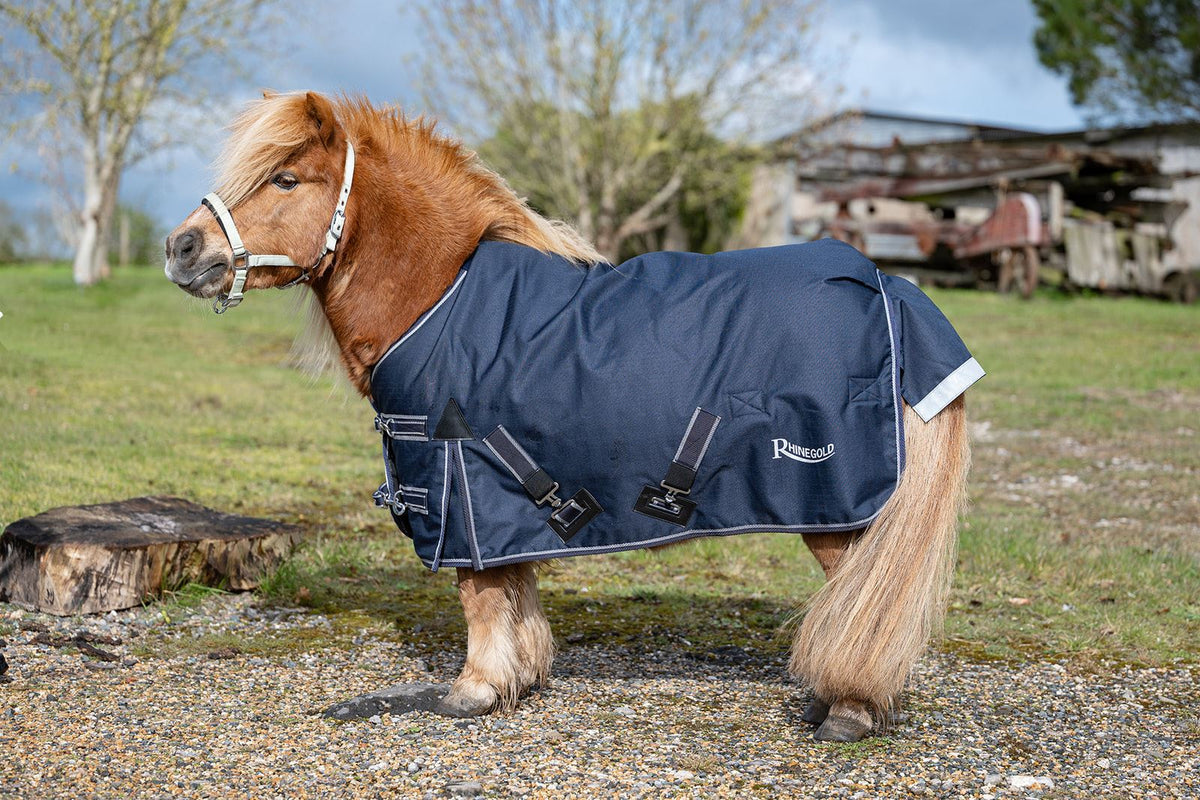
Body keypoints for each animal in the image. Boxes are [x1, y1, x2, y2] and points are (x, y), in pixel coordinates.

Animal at [164, 91, 974, 742]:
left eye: (285, 178)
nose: (181, 247)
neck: (442, 297)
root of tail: (887, 289)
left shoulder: (464, 483)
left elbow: (481, 597)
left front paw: (474, 690)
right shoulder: (501, 500)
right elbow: (513, 589)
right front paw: (518, 679)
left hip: (834, 505)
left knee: (868, 598)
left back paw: (850, 709)